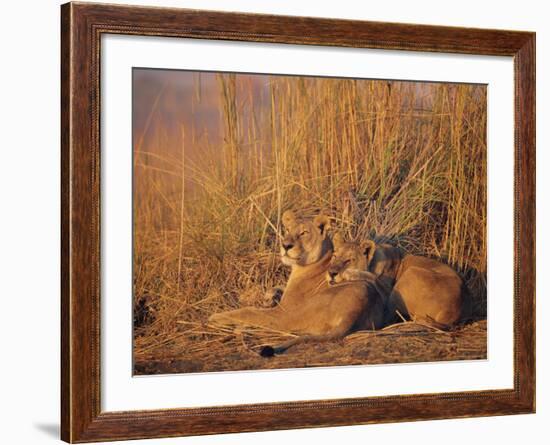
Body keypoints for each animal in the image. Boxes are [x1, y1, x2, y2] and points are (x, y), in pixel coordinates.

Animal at [209, 211, 386, 354]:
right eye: (287, 230)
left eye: (303, 233)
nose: (286, 245)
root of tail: (356, 311)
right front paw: (269, 295)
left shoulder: (283, 311)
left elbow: (248, 311)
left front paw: (216, 317)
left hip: (291, 316)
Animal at [330, 231, 472, 328]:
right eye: (335, 256)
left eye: (349, 260)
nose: (331, 273)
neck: (373, 262)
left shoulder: (386, 291)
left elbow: (373, 278)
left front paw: (350, 273)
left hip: (409, 274)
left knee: (387, 317)